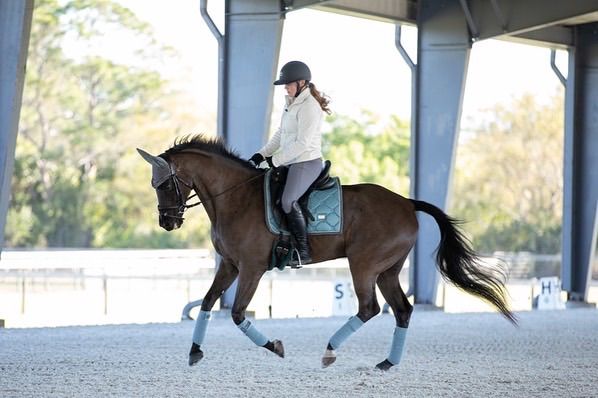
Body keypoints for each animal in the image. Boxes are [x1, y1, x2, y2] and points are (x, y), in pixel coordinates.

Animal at [137, 135, 516, 372]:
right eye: (154, 185)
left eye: (164, 183)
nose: (168, 222)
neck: (234, 198)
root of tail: (407, 202)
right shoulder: (230, 265)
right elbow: (206, 303)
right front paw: (195, 352)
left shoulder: (252, 268)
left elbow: (237, 313)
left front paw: (275, 346)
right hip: (387, 270)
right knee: (402, 310)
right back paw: (387, 363)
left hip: (364, 265)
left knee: (369, 308)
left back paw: (330, 352)